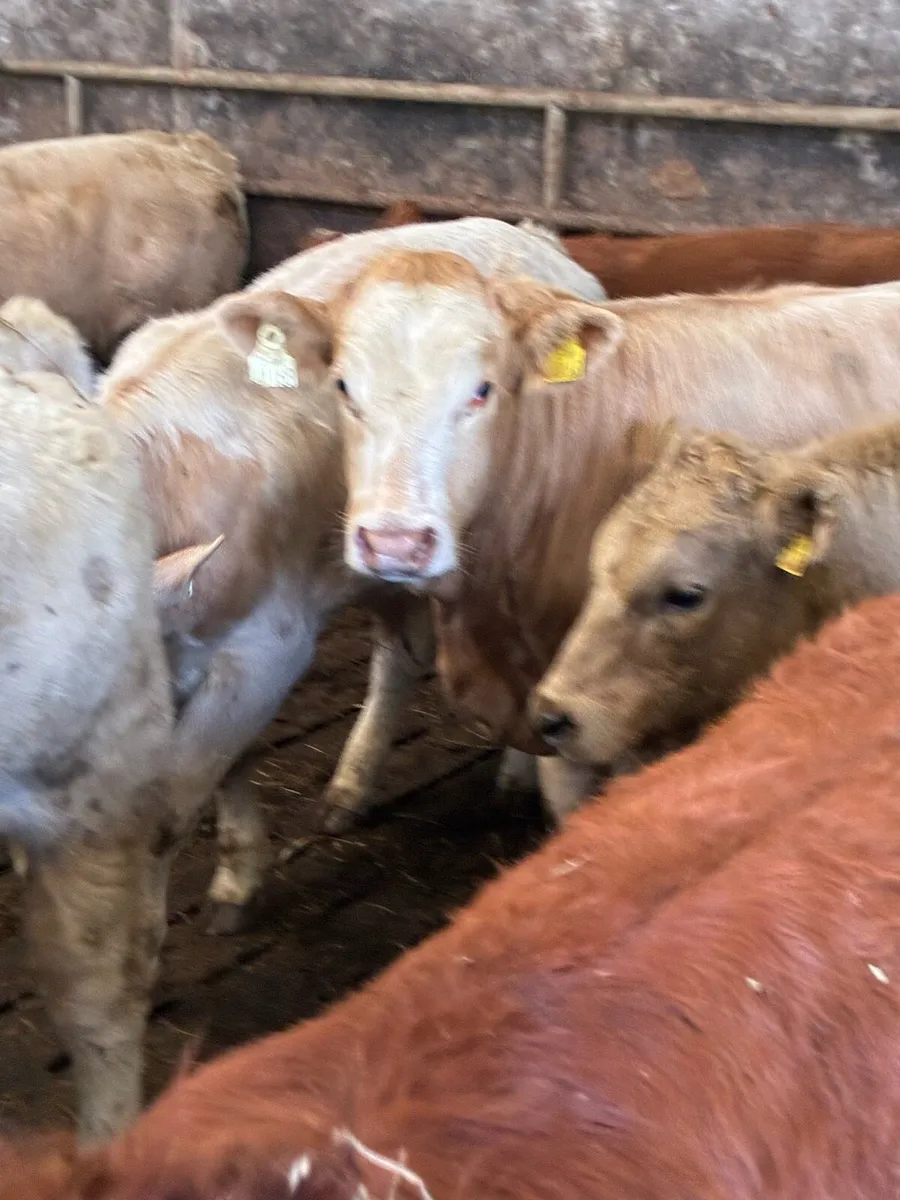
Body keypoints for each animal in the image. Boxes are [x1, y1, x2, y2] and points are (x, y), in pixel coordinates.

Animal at [97, 216, 603, 936]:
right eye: (341, 388)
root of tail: (527, 232)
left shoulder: (265, 651)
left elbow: (171, 808)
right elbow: (229, 765)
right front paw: (237, 871)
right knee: (399, 658)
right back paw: (352, 782)